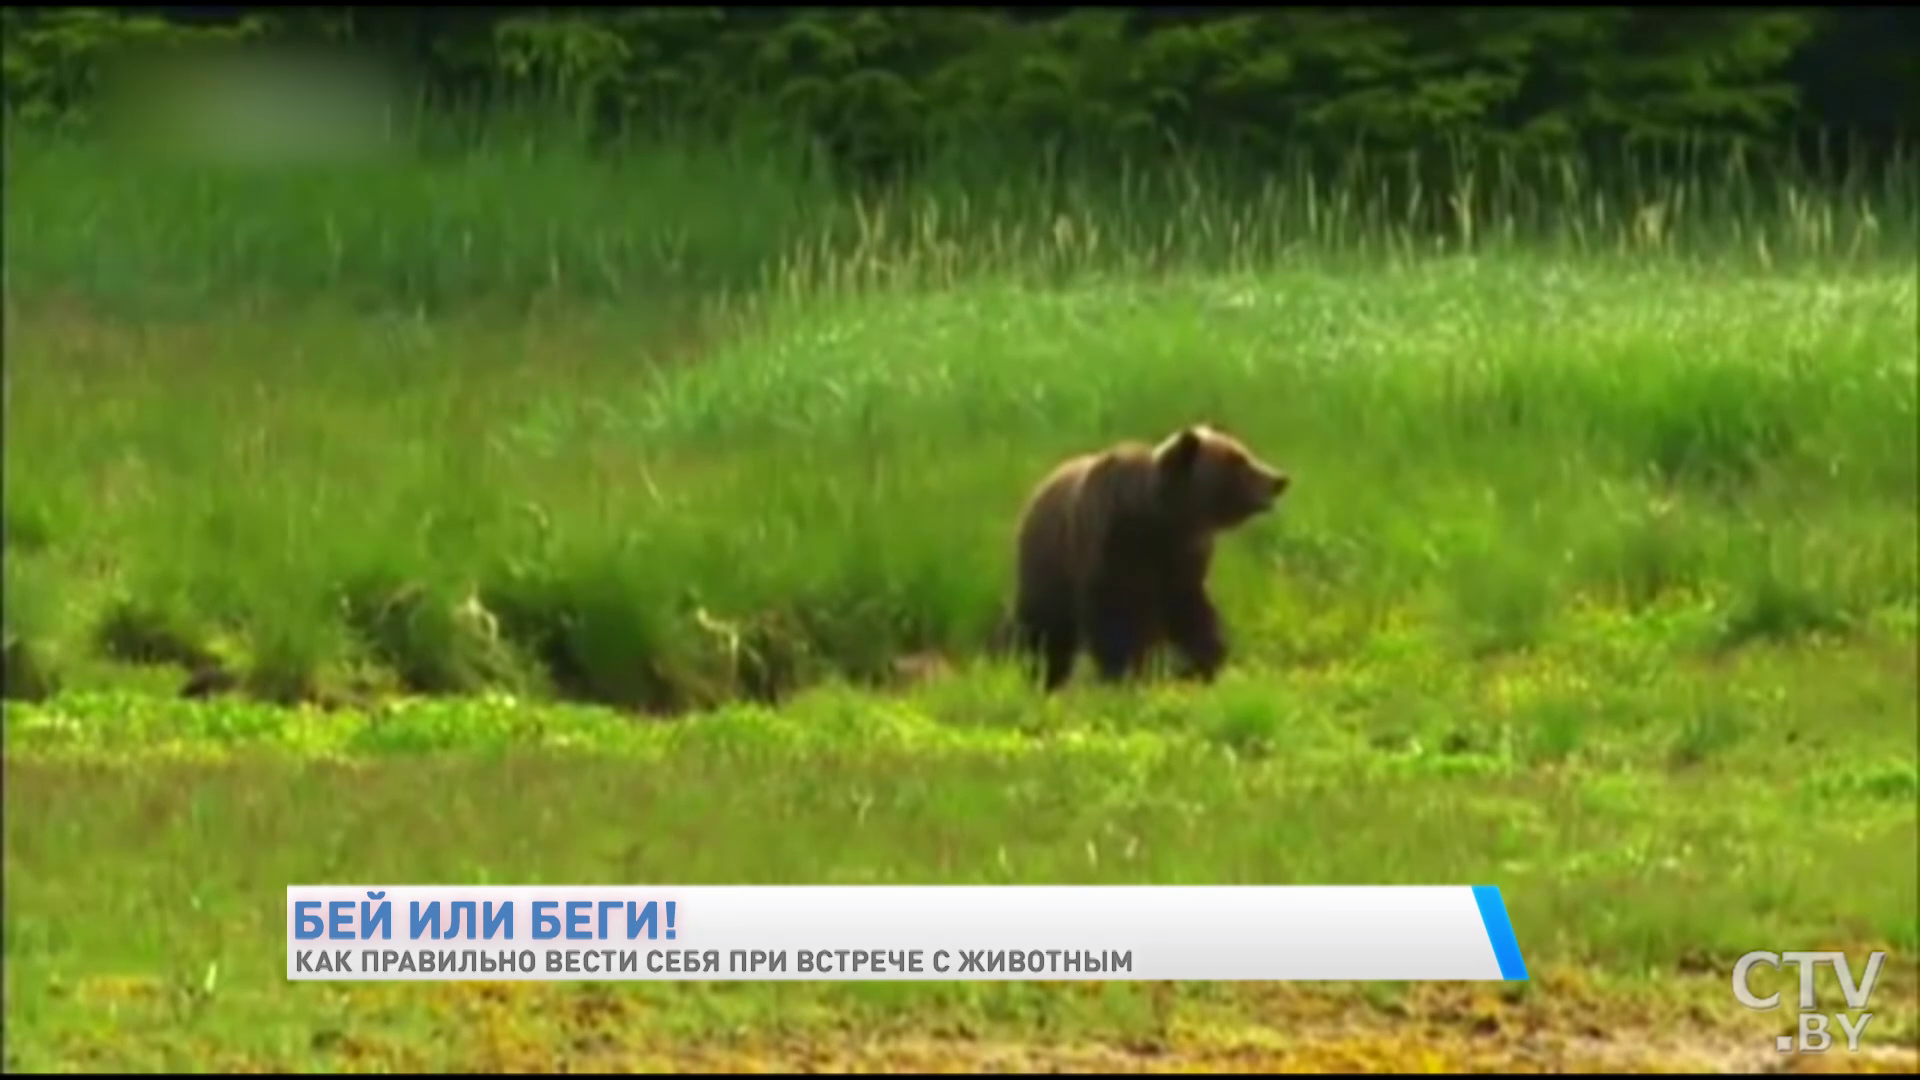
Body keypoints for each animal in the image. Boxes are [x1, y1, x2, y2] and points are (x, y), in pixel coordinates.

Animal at [1006, 422, 1290, 687]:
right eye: (1238, 460)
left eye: (1244, 453)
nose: (1279, 480)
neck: (1160, 519)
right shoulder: (1117, 548)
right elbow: (1117, 616)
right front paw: (1131, 672)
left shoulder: (1182, 561)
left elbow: (1194, 612)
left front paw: (1204, 663)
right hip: (1048, 568)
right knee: (1044, 627)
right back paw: (1041, 672)